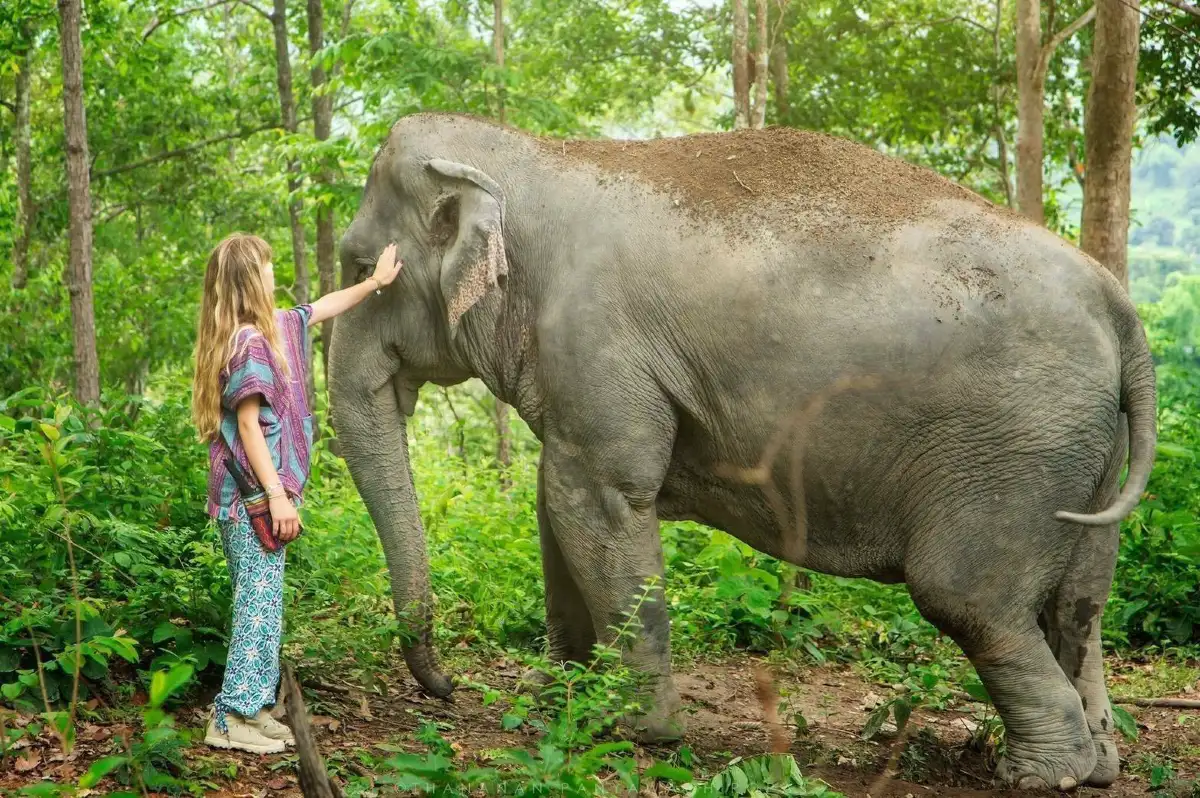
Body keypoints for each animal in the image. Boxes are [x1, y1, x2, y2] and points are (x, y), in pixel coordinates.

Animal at [328, 112, 1157, 791]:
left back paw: (1043, 774)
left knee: (970, 600)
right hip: (1085, 453)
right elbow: (556, 505)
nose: (447, 687)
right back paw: (1099, 765)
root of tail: (1118, 306)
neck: (533, 155)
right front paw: (560, 708)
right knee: (1078, 605)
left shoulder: (598, 346)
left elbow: (600, 500)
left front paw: (639, 733)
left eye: (358, 266)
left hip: (1016, 450)